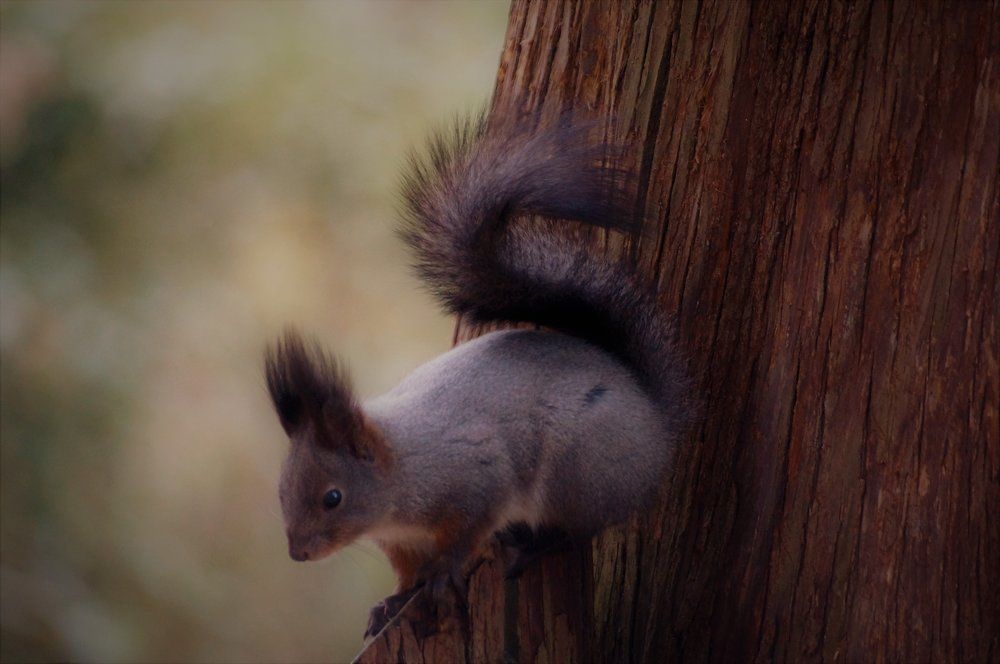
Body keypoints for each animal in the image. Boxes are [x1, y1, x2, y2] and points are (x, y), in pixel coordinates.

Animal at [264, 112, 691, 640]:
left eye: (333, 497)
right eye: (281, 490)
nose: (298, 553)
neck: (401, 471)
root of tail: (658, 423)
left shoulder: (476, 480)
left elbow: (465, 534)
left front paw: (442, 575)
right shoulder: (402, 542)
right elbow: (407, 574)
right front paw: (392, 602)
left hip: (579, 472)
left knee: (581, 530)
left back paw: (537, 545)